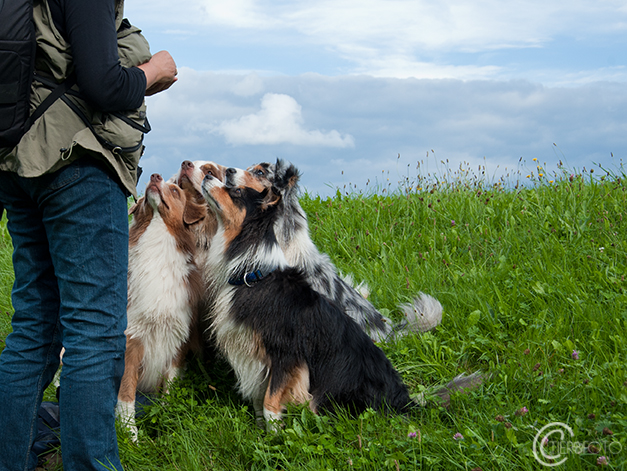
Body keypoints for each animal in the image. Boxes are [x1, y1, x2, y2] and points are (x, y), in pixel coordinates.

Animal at [116, 174, 205, 442]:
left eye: (175, 190)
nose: (154, 176)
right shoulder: (131, 339)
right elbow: (126, 393)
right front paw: (130, 436)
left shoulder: (178, 339)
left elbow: (169, 389)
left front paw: (167, 425)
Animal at [201, 174, 422, 432]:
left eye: (236, 191)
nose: (207, 175)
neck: (253, 274)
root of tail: (406, 403)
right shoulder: (253, 355)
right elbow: (258, 400)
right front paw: (260, 433)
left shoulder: (287, 354)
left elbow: (269, 402)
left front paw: (276, 435)